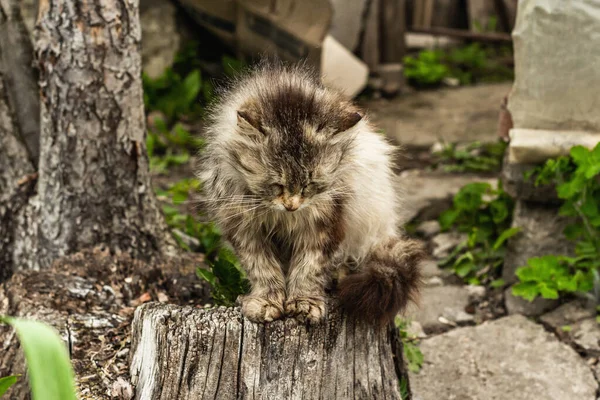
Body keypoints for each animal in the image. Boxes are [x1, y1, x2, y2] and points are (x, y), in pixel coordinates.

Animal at [198, 63, 426, 324]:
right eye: (277, 184)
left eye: (310, 184)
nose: (292, 205)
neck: (284, 219)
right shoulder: (244, 229)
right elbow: (263, 269)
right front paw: (267, 301)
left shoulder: (325, 225)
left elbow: (309, 269)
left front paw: (304, 303)